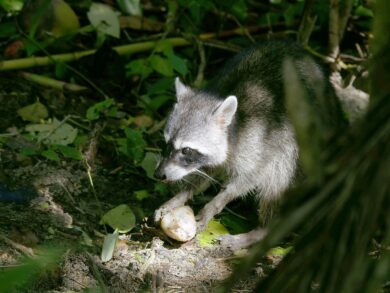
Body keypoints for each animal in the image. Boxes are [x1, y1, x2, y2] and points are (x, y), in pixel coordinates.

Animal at [155, 38, 342, 249]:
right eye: (166, 143)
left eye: (186, 150)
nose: (159, 175)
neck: (233, 126)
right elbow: (205, 173)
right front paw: (182, 195)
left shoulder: (261, 143)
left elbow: (249, 179)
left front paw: (217, 202)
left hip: (304, 149)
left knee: (278, 180)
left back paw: (261, 232)